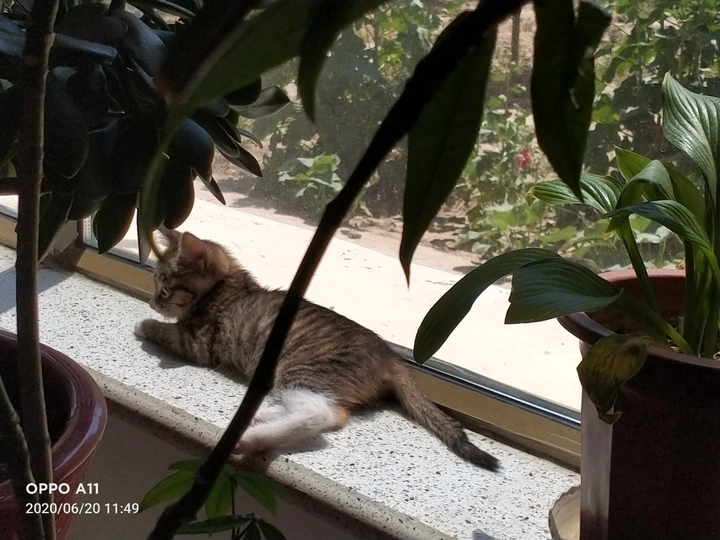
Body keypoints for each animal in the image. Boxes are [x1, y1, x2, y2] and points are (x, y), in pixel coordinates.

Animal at [134, 228, 500, 471]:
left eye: (164, 289)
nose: (152, 301)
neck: (230, 286)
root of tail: (391, 358)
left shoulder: (198, 344)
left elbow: (167, 331)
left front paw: (144, 324)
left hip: (301, 369)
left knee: (321, 414)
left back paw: (252, 437)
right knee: (328, 413)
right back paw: (264, 413)